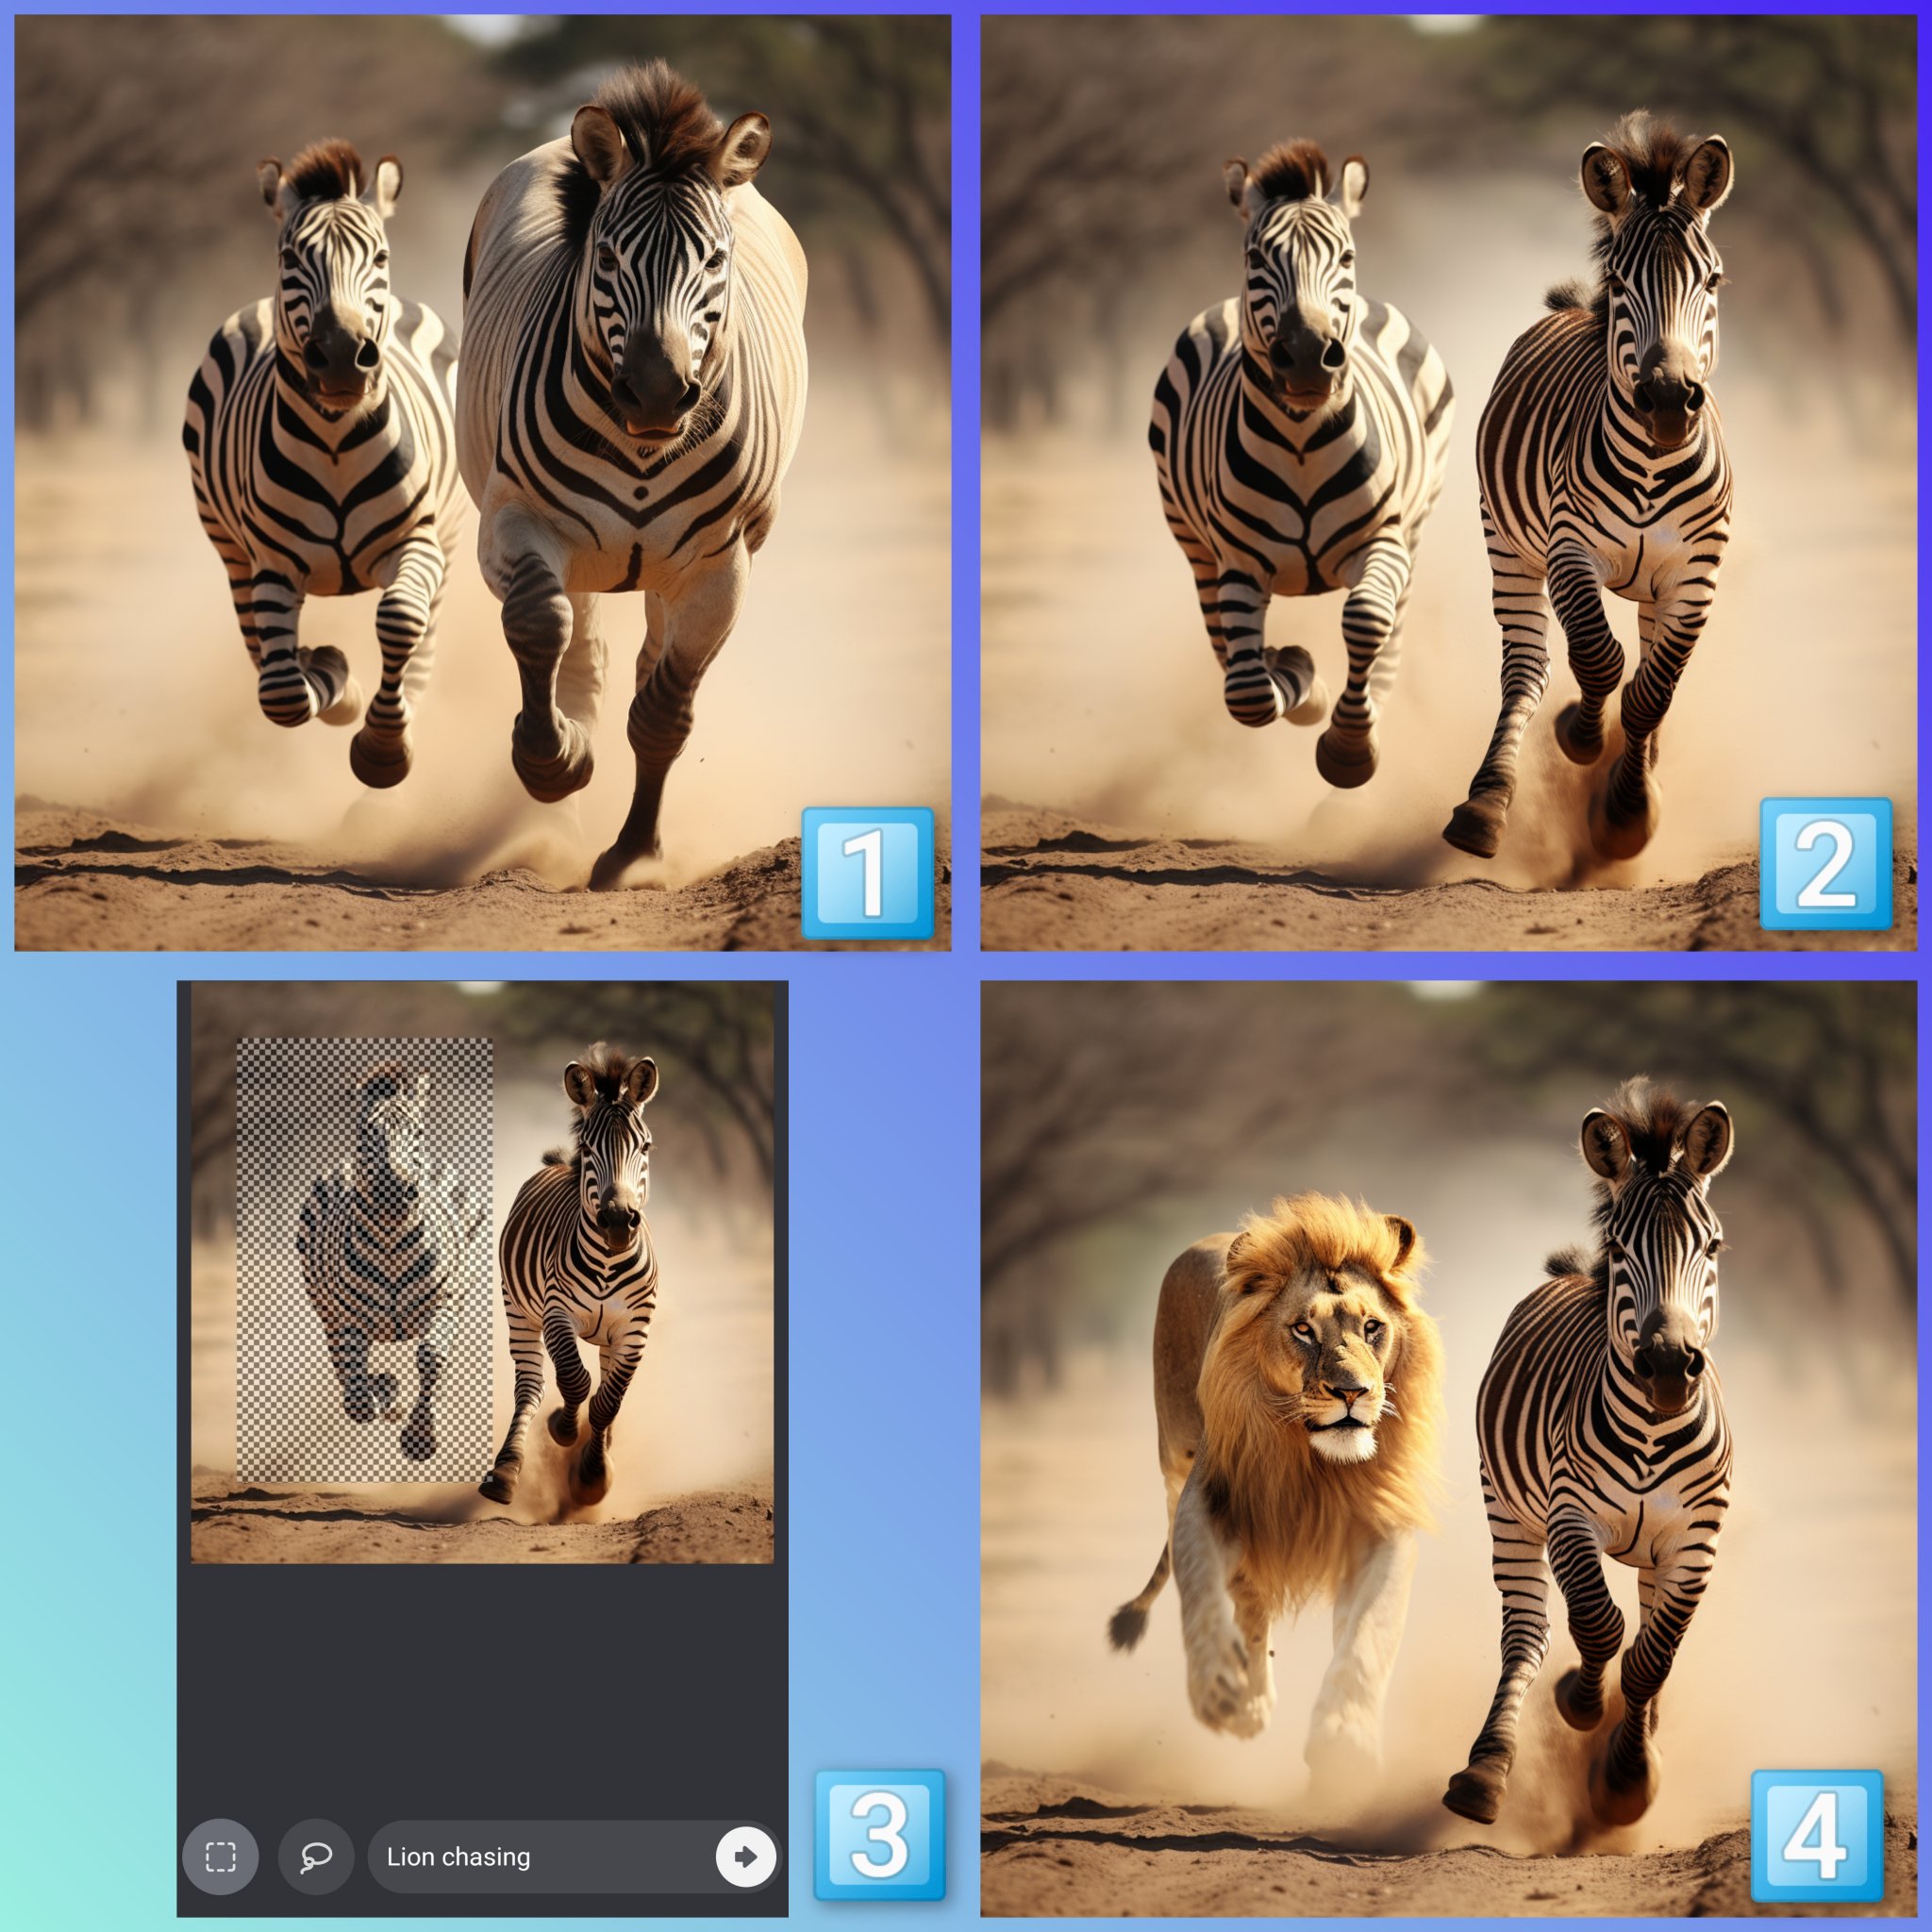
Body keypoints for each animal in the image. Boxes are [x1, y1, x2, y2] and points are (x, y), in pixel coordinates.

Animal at [1108, 1192, 1444, 1781]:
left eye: (1372, 1327)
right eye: (1304, 1330)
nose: (1353, 1392)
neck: (1316, 1465)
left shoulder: (1383, 1528)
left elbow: (1370, 1631)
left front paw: (1344, 1737)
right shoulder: (1209, 1499)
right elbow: (1199, 1584)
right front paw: (1218, 1685)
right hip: (1174, 1460)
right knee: (1238, 1596)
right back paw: (1247, 1699)